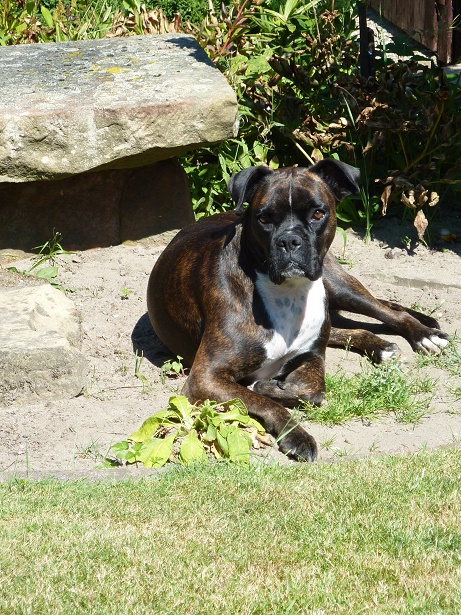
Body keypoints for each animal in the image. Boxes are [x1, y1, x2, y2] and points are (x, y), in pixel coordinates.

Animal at [147, 160, 449, 461]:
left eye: (318, 213)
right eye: (264, 218)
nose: (290, 240)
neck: (287, 293)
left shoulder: (312, 356)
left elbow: (313, 391)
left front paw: (269, 388)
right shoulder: (205, 377)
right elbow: (272, 400)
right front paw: (296, 433)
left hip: (338, 285)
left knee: (387, 310)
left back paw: (424, 334)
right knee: (346, 329)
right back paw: (382, 346)